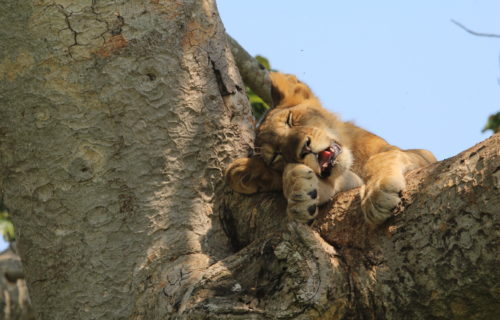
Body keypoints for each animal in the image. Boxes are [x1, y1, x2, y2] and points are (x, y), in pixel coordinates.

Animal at [225, 73, 436, 225]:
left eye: (290, 120)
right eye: (277, 155)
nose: (305, 148)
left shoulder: (425, 155)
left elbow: (381, 158)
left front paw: (378, 192)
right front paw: (298, 191)